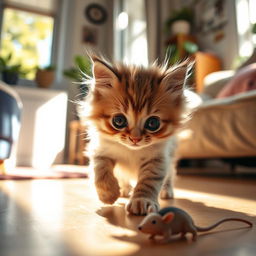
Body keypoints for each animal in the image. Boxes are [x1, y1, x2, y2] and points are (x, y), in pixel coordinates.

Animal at [83, 56, 191, 216]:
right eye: (119, 121)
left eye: (153, 123)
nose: (135, 139)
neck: (132, 151)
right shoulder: (100, 151)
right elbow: (100, 171)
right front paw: (108, 194)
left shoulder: (158, 159)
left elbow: (148, 181)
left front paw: (141, 201)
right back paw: (124, 189)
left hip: (171, 159)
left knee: (170, 174)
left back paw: (167, 191)